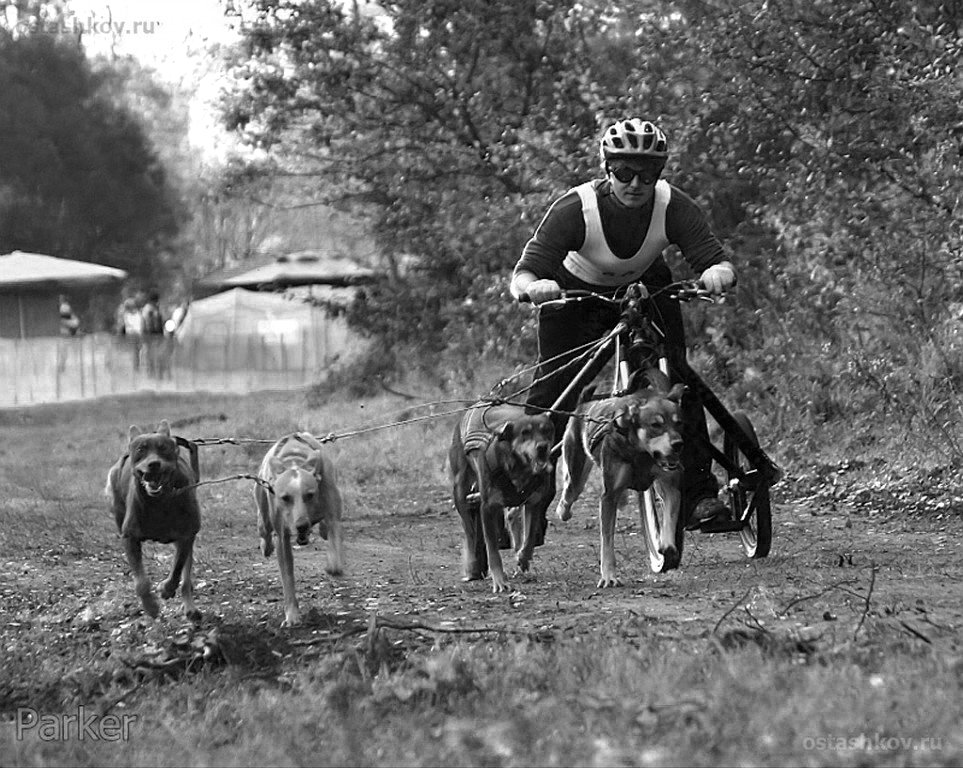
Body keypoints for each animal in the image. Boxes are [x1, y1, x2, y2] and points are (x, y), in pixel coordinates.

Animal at [105, 416, 201, 620]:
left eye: (163, 448)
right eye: (141, 450)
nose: (154, 464)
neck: (160, 502)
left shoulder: (187, 535)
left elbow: (177, 568)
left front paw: (166, 589)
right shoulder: (130, 537)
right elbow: (141, 583)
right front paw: (150, 606)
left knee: (186, 577)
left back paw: (190, 607)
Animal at [256, 428, 346, 628]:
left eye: (310, 495)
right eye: (285, 498)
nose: (301, 525)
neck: (294, 461)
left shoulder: (332, 511)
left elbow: (334, 537)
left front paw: (334, 566)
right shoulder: (282, 537)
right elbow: (287, 577)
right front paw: (292, 614)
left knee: (325, 530)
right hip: (263, 511)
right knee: (263, 528)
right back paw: (266, 546)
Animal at [452, 402, 556, 592]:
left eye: (547, 430)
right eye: (525, 433)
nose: (542, 447)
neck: (519, 469)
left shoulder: (534, 502)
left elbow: (529, 537)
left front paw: (523, 558)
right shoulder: (487, 508)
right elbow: (493, 550)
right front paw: (499, 581)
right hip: (460, 490)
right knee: (469, 531)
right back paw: (472, 565)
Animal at [552, 372, 688, 588]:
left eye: (679, 423)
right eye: (656, 425)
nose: (678, 444)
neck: (641, 454)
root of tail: (584, 405)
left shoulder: (670, 485)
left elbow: (669, 517)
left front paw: (667, 545)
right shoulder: (608, 497)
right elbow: (607, 540)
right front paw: (609, 576)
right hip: (576, 473)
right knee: (568, 495)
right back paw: (563, 511)